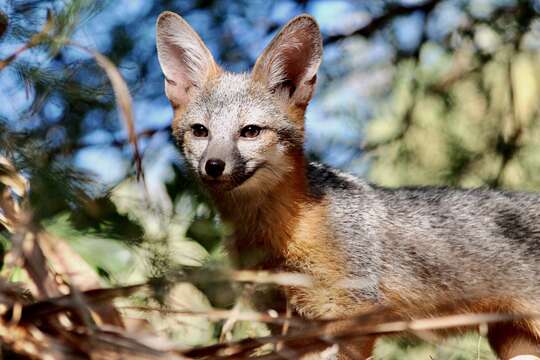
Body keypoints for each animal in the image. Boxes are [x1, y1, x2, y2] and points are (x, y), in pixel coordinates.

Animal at [156, 11, 540, 360]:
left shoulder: (352, 315)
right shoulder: (287, 326)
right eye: (200, 131)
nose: (213, 166)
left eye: (250, 131)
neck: (278, 231)